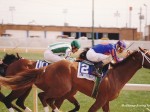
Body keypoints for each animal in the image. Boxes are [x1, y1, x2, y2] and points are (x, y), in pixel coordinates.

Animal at [0, 47, 149, 112]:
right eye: (149, 54)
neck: (115, 75)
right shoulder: (100, 99)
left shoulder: (103, 101)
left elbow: (75, 106)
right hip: (31, 88)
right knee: (12, 99)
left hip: (26, 87)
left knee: (18, 101)